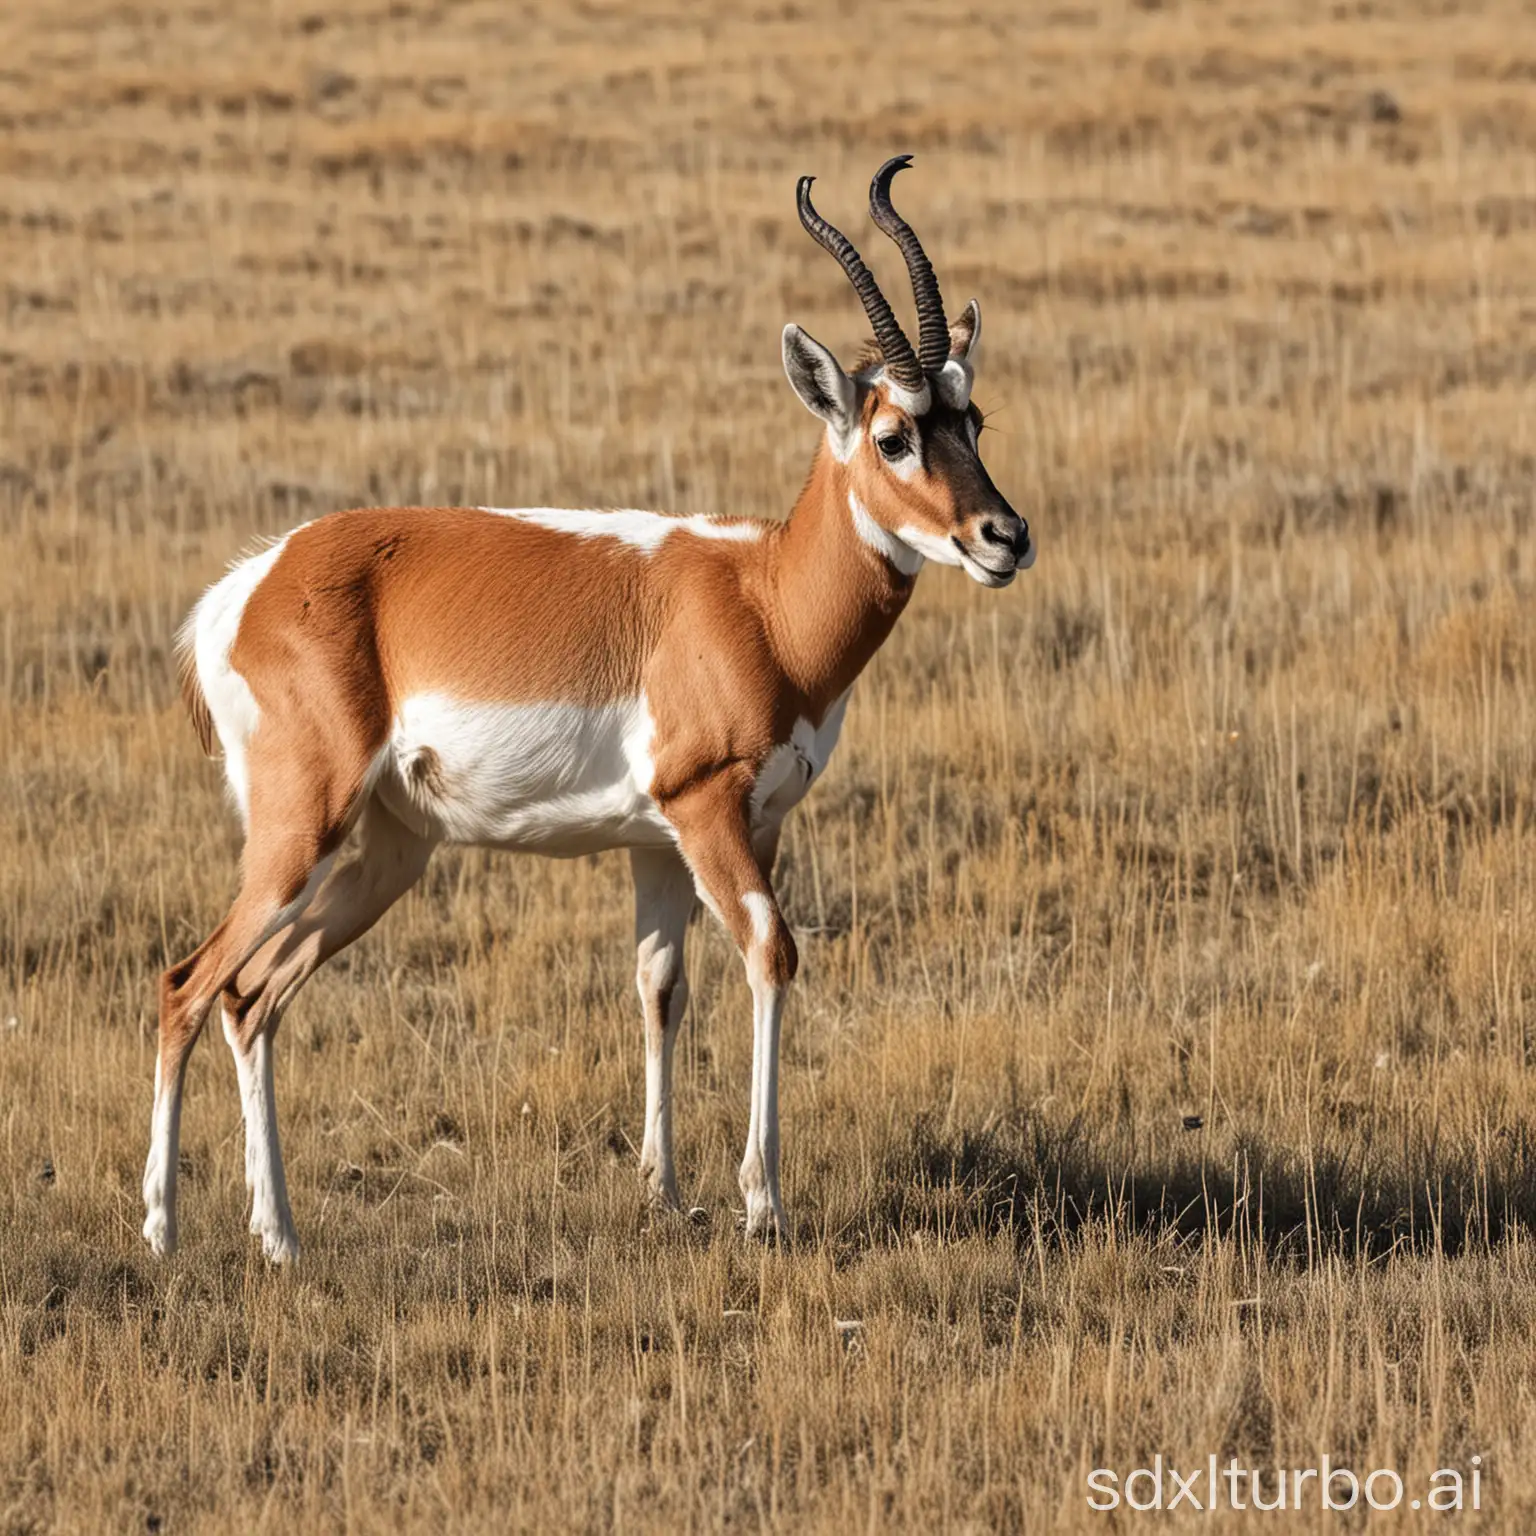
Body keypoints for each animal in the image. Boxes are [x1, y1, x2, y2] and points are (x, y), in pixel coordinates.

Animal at [146, 155, 1032, 1259]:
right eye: (894, 435)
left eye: (974, 420)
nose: (1005, 536)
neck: (760, 597)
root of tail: (248, 589)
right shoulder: (708, 812)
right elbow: (773, 956)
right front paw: (762, 1205)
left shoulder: (685, 837)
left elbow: (661, 987)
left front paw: (665, 1192)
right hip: (297, 834)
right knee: (187, 984)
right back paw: (165, 1230)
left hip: (386, 853)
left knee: (250, 998)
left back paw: (280, 1237)